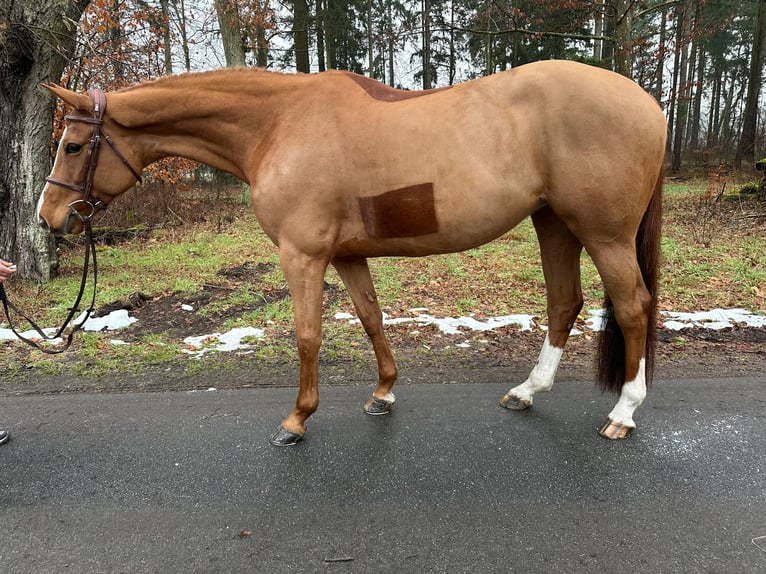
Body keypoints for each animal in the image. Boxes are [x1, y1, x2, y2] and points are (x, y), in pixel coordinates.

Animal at [37, 60, 667, 446]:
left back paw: (624, 412)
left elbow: (308, 335)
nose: (49, 217)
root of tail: (647, 103)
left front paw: (297, 419)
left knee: (633, 306)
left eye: (73, 146)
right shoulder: (345, 255)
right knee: (564, 302)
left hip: (603, 234)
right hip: (553, 221)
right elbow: (370, 318)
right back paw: (527, 391)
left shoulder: (302, 256)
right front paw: (383, 393)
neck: (276, 126)